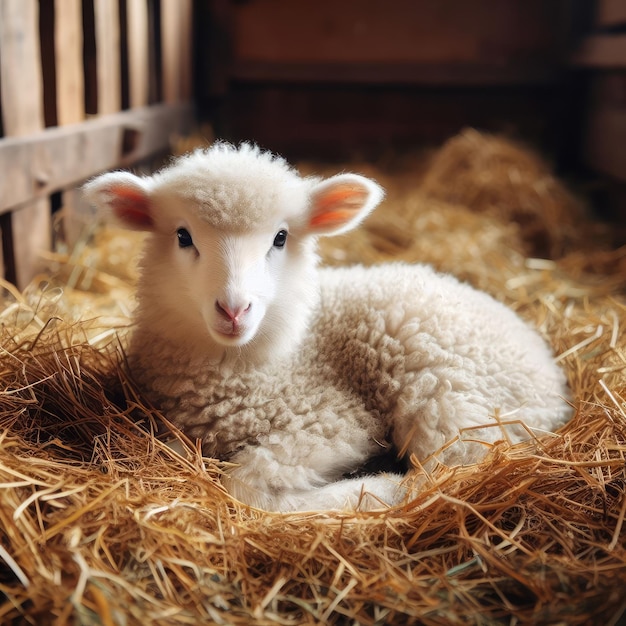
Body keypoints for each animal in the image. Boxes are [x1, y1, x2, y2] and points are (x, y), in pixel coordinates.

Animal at [84, 143, 572, 512]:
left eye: (281, 238)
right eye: (183, 236)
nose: (234, 309)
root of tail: (548, 371)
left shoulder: (333, 417)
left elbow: (247, 485)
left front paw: (372, 488)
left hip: (447, 390)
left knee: (452, 470)